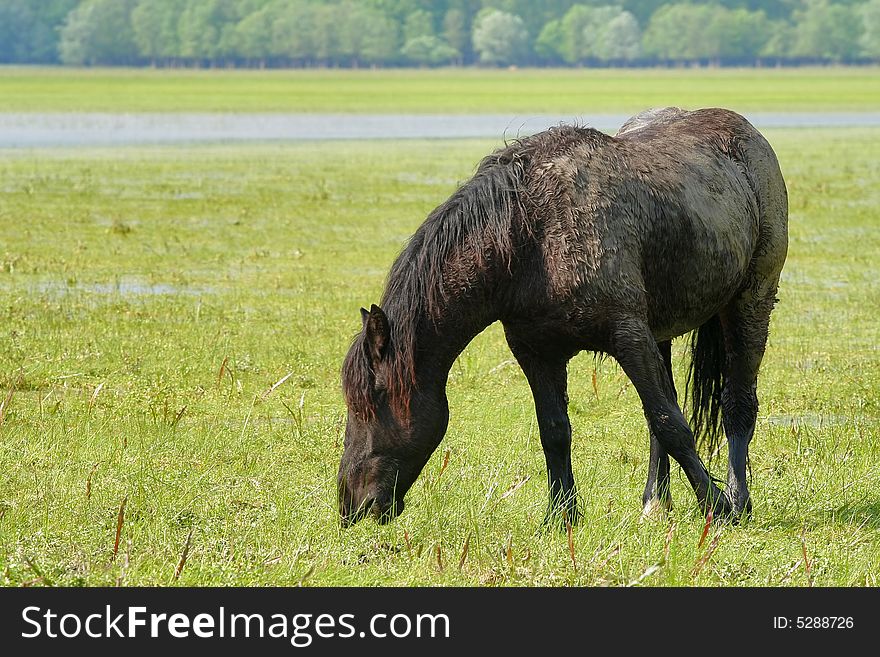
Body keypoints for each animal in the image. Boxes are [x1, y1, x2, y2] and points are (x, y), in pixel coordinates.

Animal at [338, 107, 792, 528]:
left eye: (374, 399)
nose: (351, 506)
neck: (532, 234)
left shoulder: (628, 335)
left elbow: (672, 424)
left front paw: (717, 507)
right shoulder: (536, 351)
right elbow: (556, 430)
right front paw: (561, 516)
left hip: (751, 300)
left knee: (736, 404)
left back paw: (738, 500)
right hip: (660, 331)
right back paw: (655, 503)